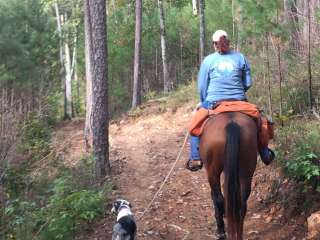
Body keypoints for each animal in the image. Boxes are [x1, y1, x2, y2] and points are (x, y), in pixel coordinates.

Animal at [200, 111, 258, 239]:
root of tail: (231, 123)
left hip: (212, 173)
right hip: (246, 172)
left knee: (219, 199)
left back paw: (222, 231)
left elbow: (215, 197)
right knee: (242, 205)